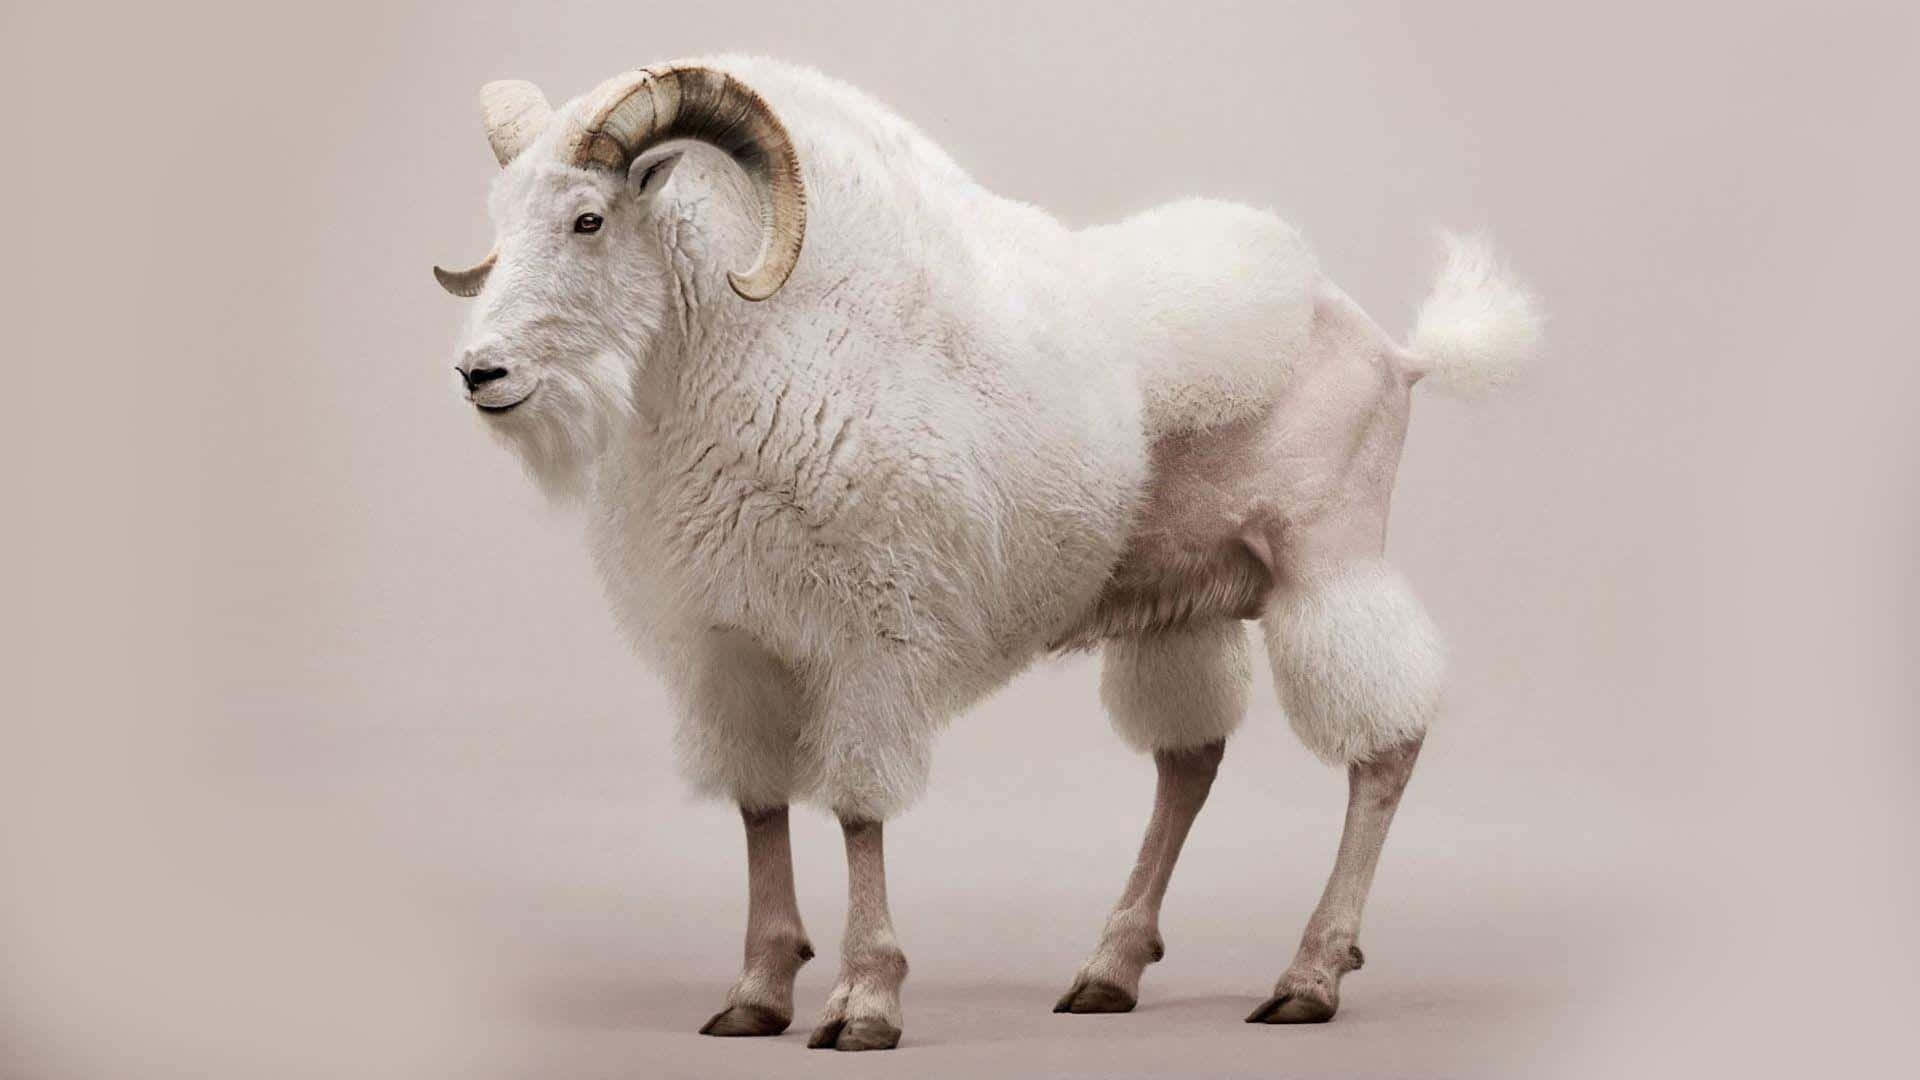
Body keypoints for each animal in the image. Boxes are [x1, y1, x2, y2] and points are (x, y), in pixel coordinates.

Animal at [433, 56, 1542, 1051]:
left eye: (589, 219)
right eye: (502, 222)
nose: (481, 373)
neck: (763, 352)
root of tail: (1394, 350)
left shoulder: (869, 644)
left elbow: (859, 809)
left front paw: (864, 1001)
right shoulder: (737, 653)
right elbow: (759, 810)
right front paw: (756, 993)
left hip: (1329, 562)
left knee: (1385, 747)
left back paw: (1310, 976)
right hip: (1188, 603)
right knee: (1190, 763)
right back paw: (1109, 969)